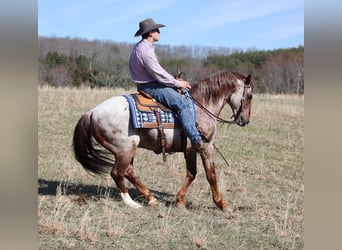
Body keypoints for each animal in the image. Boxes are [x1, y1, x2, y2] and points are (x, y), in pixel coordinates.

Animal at [73, 71, 254, 212]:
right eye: (250, 96)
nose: (245, 120)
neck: (202, 107)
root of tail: (92, 112)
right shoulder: (204, 147)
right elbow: (209, 175)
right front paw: (222, 204)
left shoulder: (190, 150)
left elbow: (193, 173)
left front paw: (180, 200)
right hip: (125, 149)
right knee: (117, 173)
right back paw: (132, 203)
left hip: (126, 150)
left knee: (128, 172)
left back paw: (151, 198)